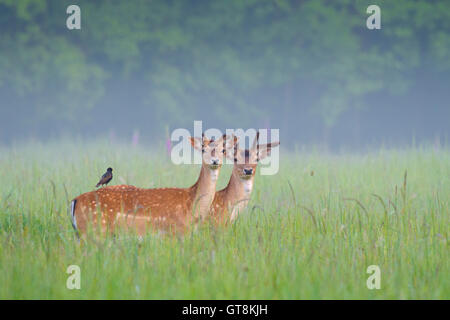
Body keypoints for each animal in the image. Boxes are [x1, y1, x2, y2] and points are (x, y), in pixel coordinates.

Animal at [70, 134, 237, 236]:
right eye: (202, 149)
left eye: (223, 150)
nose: (215, 161)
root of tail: (74, 201)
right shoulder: (175, 231)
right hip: (94, 230)